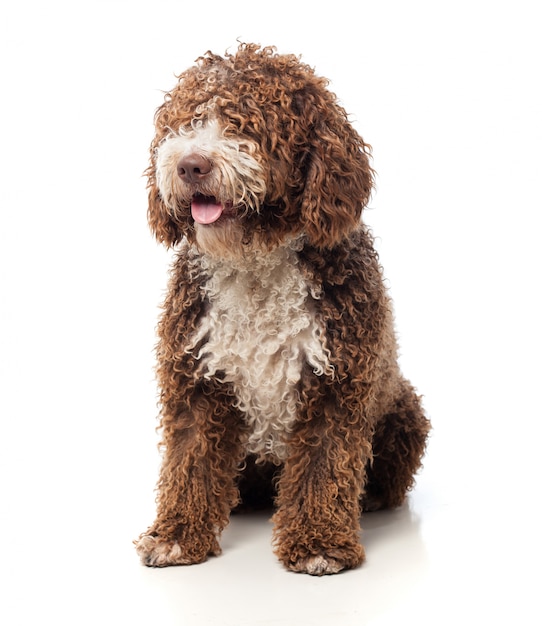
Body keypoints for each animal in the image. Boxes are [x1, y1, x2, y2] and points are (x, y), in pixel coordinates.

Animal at [134, 41, 432, 572]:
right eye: (187, 120)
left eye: (246, 123)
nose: (190, 165)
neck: (256, 260)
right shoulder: (195, 377)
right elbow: (190, 459)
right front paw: (177, 535)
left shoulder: (337, 382)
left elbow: (323, 464)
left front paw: (319, 542)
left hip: (405, 414)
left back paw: (370, 499)